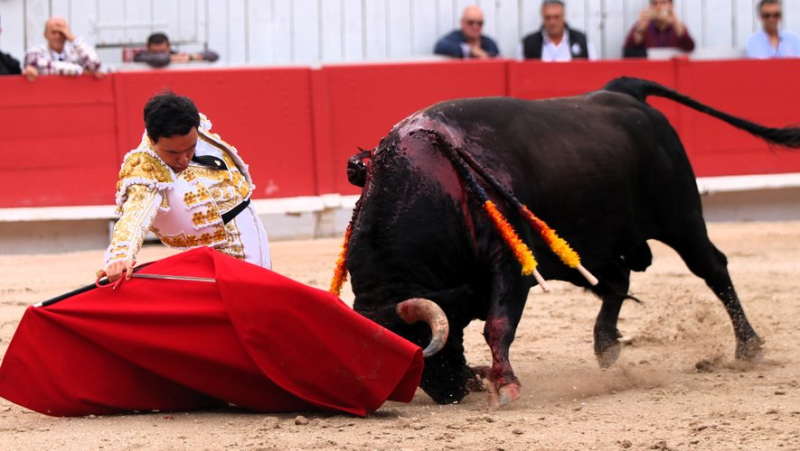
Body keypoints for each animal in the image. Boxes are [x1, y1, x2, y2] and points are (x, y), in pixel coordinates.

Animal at [338, 77, 800, 406]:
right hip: (589, 245)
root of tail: (623, 90)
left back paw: (748, 347)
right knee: (617, 280)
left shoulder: (511, 265)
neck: (433, 183)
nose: (450, 392)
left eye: (419, 345)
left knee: (713, 268)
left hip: (681, 218)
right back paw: (606, 345)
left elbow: (497, 325)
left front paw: (504, 384)